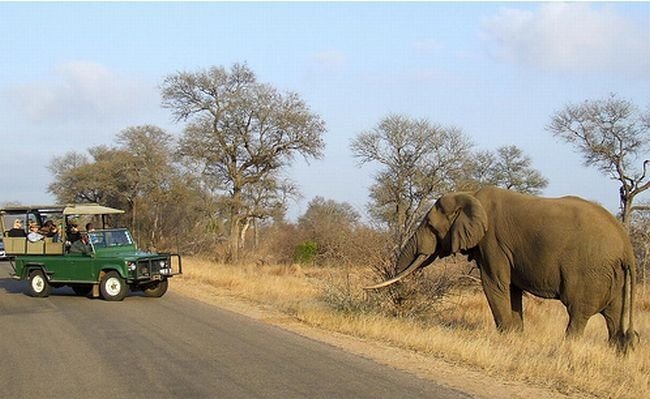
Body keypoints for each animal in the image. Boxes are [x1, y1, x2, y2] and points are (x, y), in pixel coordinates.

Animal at [368, 187, 636, 354]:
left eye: (430, 226)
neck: (470, 195)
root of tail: (627, 245)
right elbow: (512, 290)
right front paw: (516, 337)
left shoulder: (493, 243)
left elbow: (495, 285)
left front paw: (506, 337)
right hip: (612, 275)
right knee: (612, 315)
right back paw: (617, 352)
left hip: (590, 271)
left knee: (578, 312)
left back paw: (567, 347)